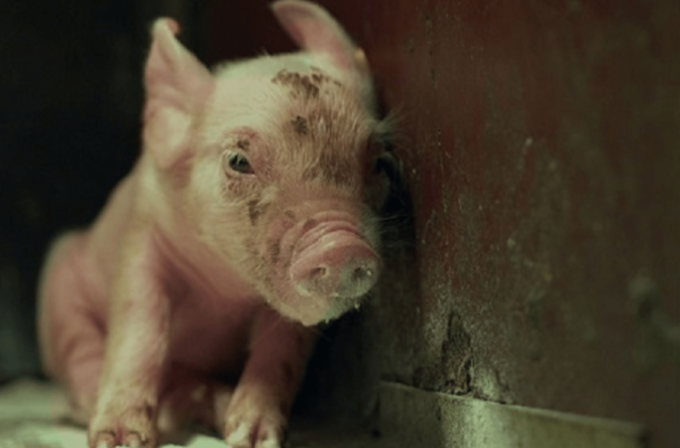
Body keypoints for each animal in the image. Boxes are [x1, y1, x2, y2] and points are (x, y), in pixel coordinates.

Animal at [37, 1, 393, 447]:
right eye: (238, 161)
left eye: (378, 162)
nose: (340, 245)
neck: (224, 289)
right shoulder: (143, 236)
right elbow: (140, 327)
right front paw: (120, 439)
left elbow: (281, 350)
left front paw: (251, 437)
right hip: (58, 286)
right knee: (79, 349)